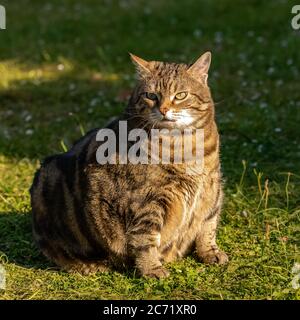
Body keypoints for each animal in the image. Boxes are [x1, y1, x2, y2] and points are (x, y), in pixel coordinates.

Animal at [29, 52, 227, 278]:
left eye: (181, 95)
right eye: (151, 95)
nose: (164, 109)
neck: (186, 146)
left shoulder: (212, 188)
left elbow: (207, 226)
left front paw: (210, 252)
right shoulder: (146, 201)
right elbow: (145, 238)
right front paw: (151, 268)